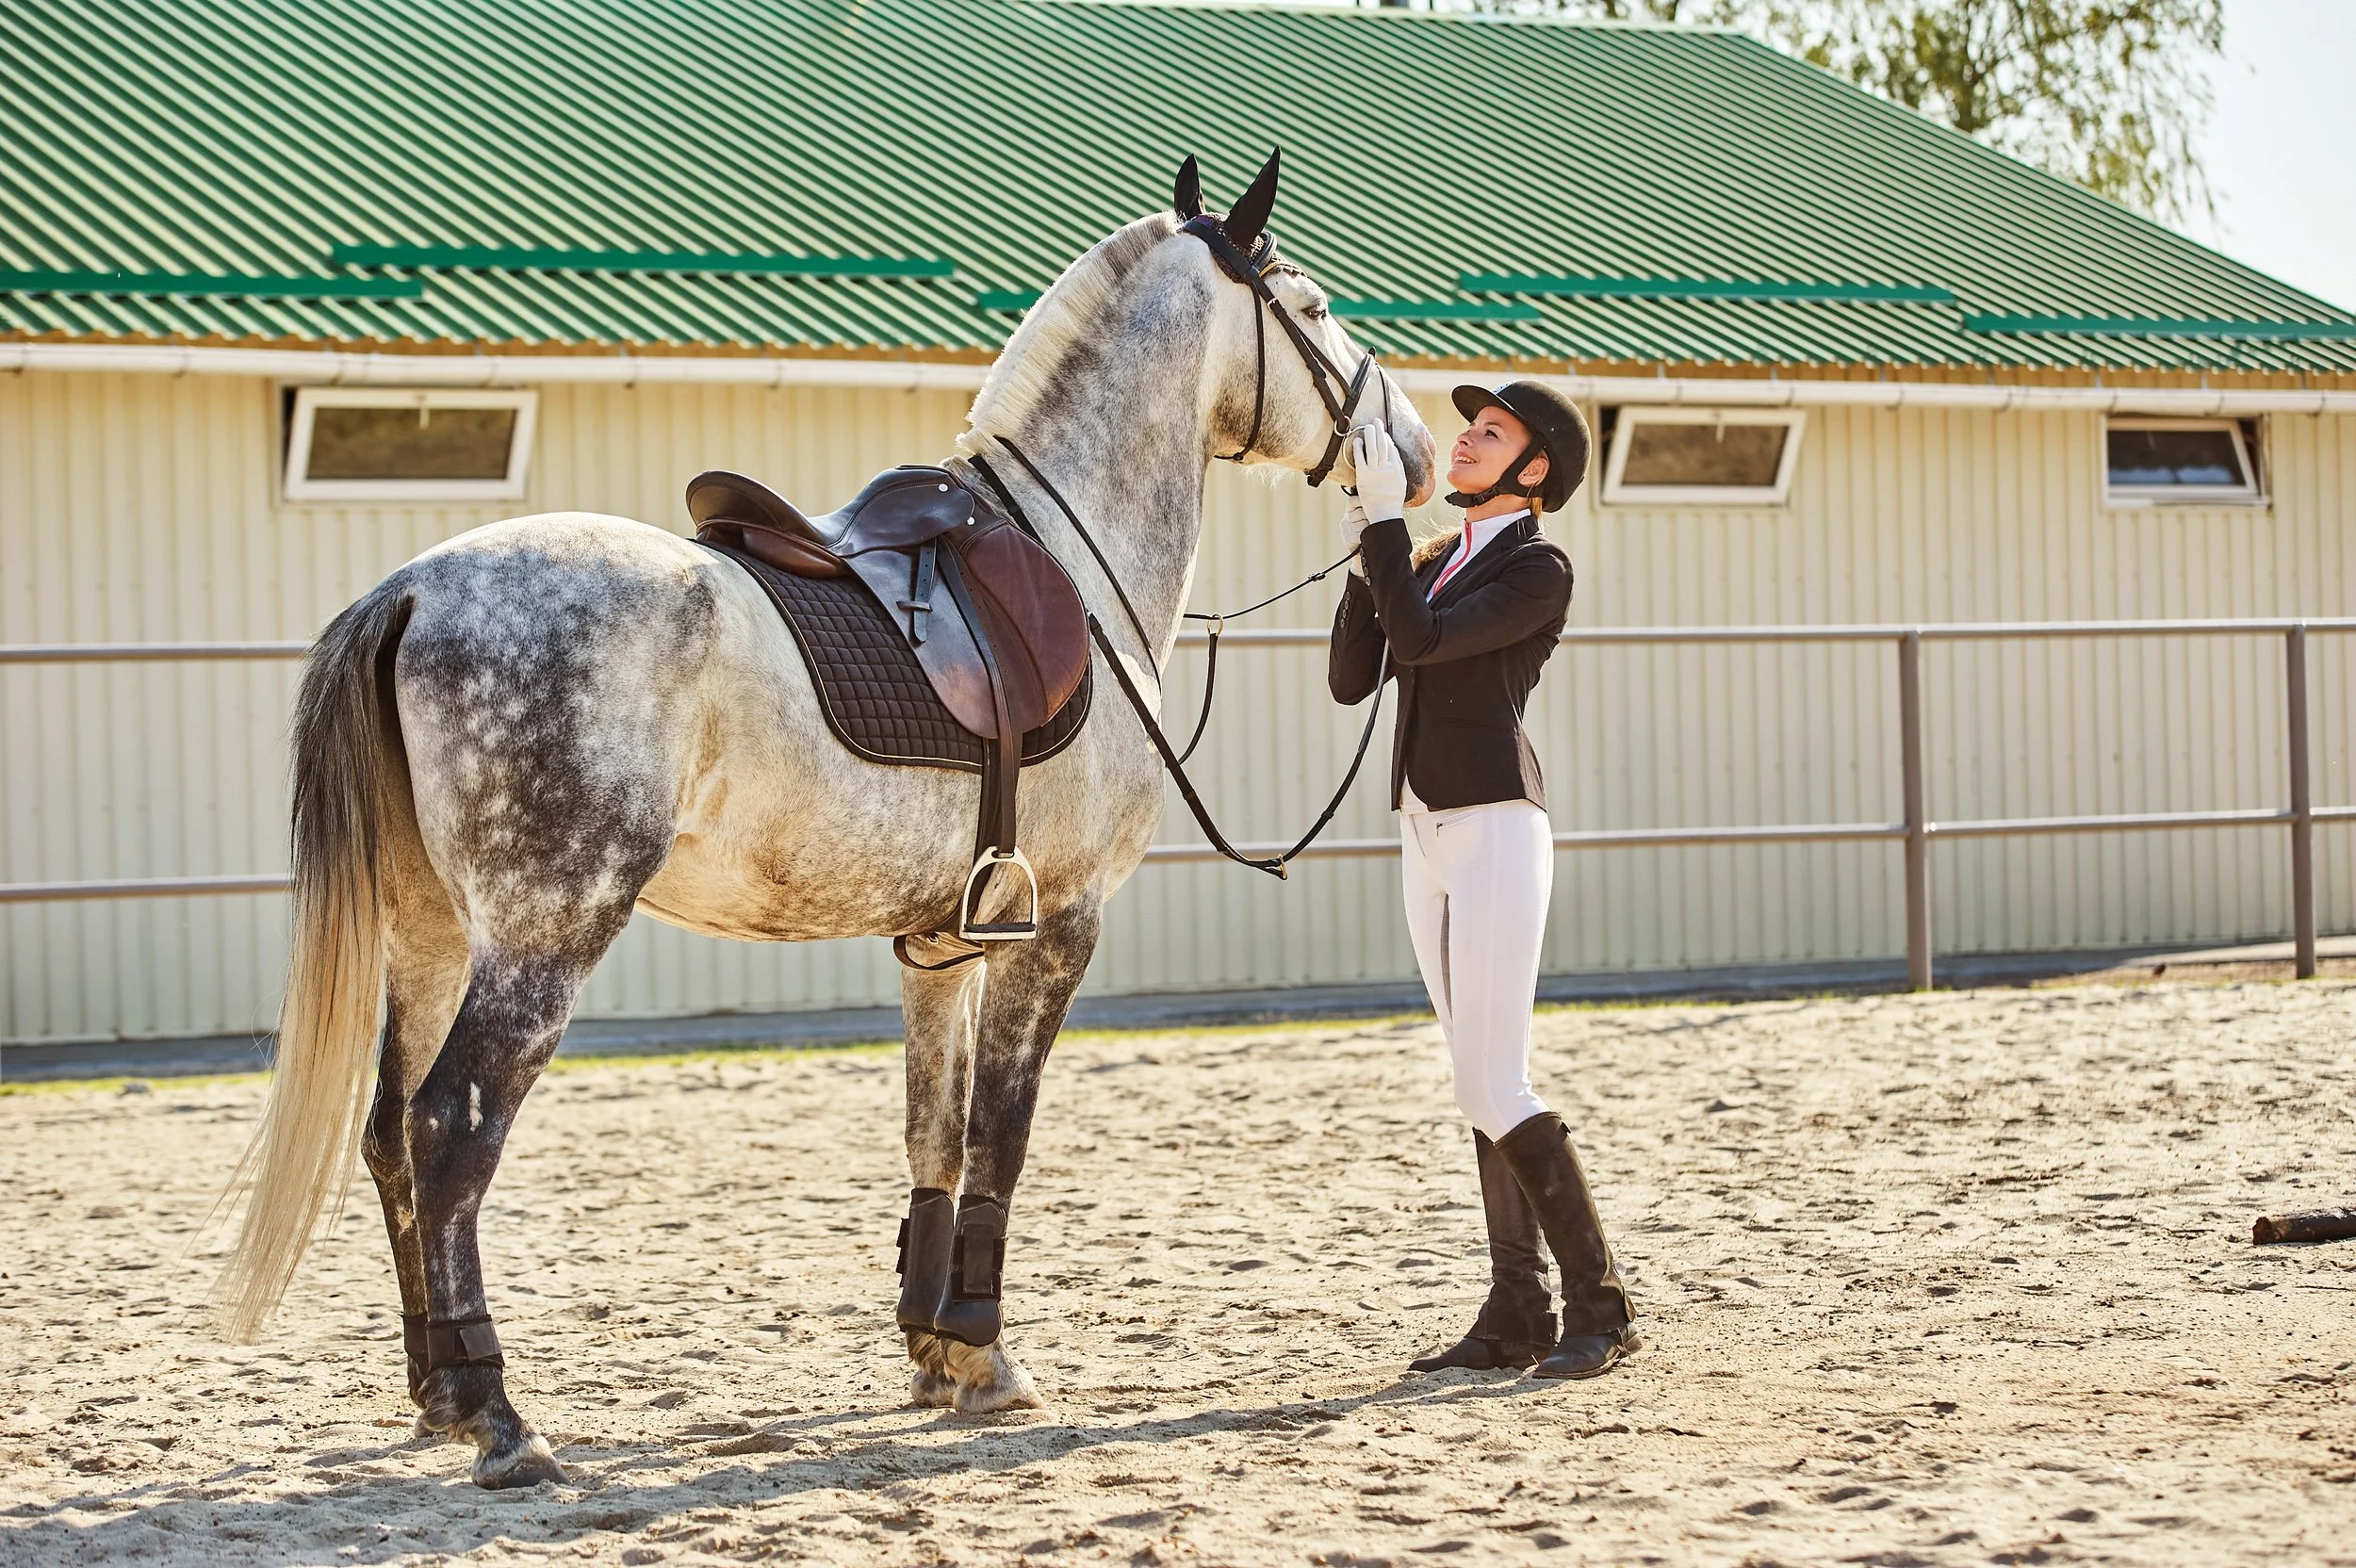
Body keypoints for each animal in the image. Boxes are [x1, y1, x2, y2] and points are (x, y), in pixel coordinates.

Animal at [212, 151, 1438, 1489]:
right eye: (1310, 304)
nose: (1416, 451)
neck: (1068, 559)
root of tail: (412, 588)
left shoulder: (945, 941)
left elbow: (933, 1136)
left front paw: (935, 1352)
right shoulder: (1059, 926)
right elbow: (1000, 1137)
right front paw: (982, 1348)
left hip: (430, 933)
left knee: (391, 1134)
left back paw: (438, 1390)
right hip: (540, 939)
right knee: (451, 1129)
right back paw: (498, 1414)